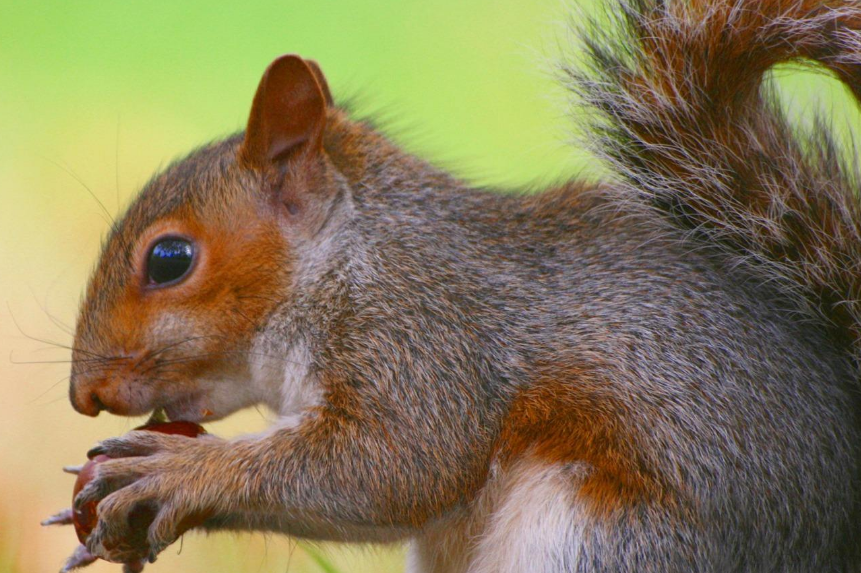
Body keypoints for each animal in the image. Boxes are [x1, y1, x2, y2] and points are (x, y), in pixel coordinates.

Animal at [48, 0, 861, 568]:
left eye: (169, 259)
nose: (84, 396)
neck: (347, 252)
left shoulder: (428, 334)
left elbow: (396, 464)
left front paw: (180, 470)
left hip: (605, 539)